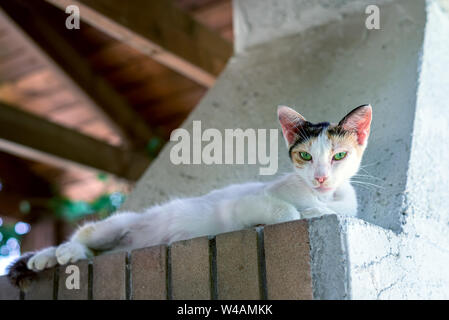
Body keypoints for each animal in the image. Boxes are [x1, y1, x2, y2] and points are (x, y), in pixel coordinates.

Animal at [7, 104, 372, 288]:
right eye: (306, 157)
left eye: (339, 156)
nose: (321, 177)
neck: (324, 197)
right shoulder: (245, 202)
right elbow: (287, 211)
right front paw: (305, 212)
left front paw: (316, 210)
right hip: (114, 225)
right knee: (82, 237)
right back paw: (54, 254)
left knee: (94, 252)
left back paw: (51, 258)